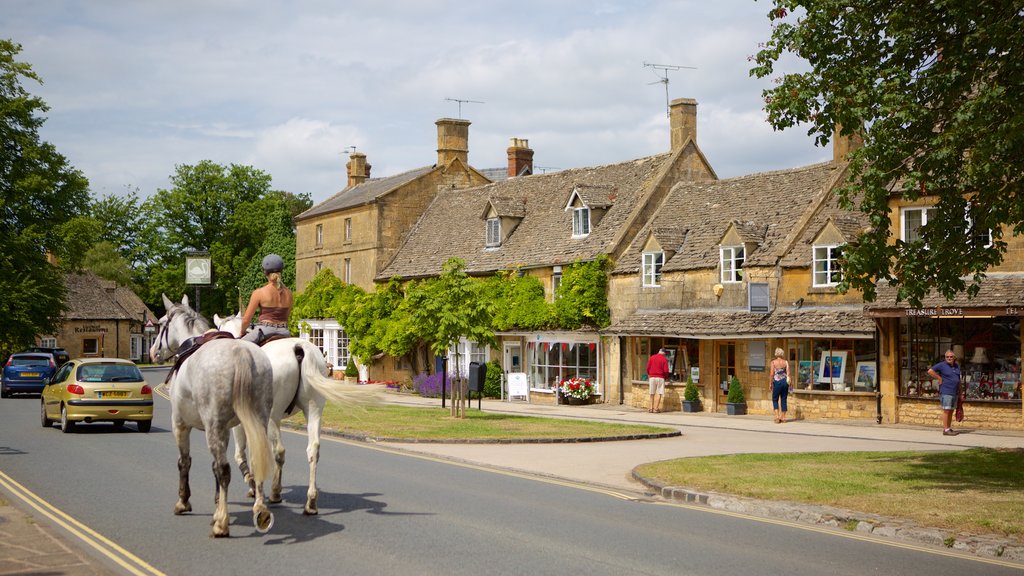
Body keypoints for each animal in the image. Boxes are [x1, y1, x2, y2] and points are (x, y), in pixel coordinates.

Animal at [149, 293, 274, 537]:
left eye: (161, 324)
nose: (152, 352)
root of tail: (240, 352)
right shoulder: (224, 428)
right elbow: (214, 466)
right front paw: (217, 502)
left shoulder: (180, 424)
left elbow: (185, 462)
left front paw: (183, 502)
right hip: (258, 421)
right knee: (255, 460)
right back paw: (259, 509)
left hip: (213, 425)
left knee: (223, 469)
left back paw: (221, 524)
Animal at [215, 311, 380, 512]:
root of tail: (298, 347)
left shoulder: (242, 422)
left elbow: (242, 453)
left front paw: (253, 485)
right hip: (314, 409)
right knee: (313, 449)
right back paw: (311, 502)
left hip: (273, 415)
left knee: (279, 451)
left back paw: (276, 493)